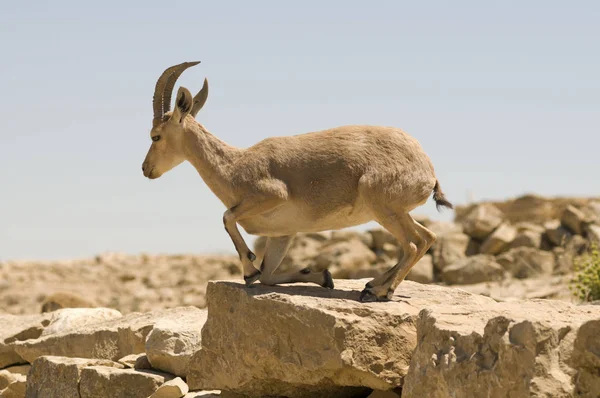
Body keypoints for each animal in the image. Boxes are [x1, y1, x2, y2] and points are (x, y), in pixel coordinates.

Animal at [142, 61, 450, 302]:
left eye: (155, 135)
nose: (146, 169)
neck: (234, 167)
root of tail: (427, 169)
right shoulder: (282, 234)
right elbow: (267, 275)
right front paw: (323, 276)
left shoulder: (272, 194)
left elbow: (228, 217)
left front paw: (248, 268)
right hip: (395, 212)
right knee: (427, 237)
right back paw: (372, 284)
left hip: (383, 208)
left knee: (412, 244)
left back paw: (380, 292)